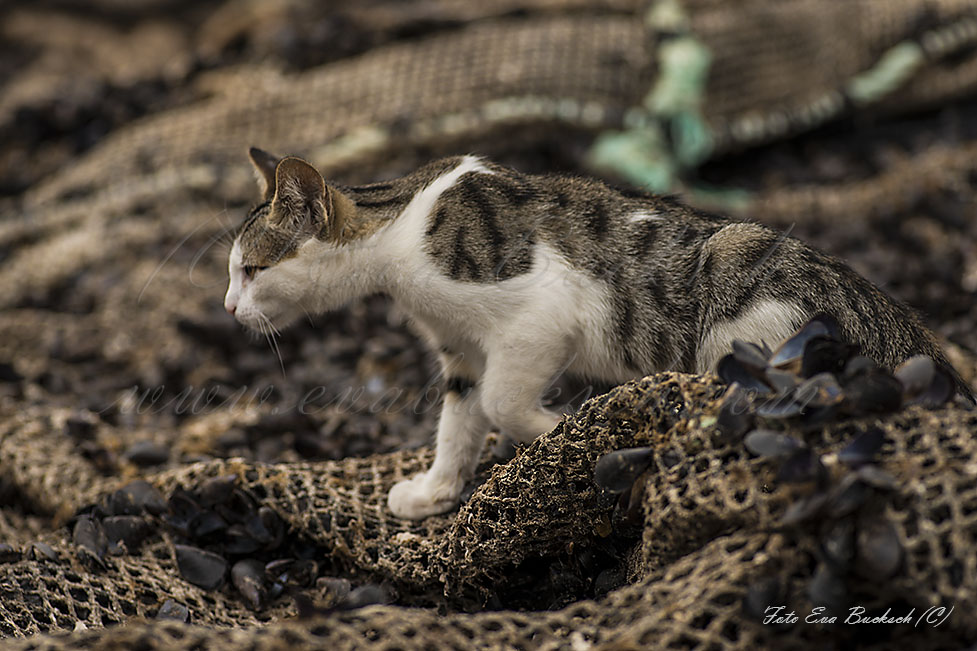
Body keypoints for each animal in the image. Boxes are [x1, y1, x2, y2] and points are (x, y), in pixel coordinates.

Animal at [225, 146, 972, 520]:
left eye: (252, 269)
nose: (230, 309)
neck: (399, 228)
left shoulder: (543, 314)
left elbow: (502, 402)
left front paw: (564, 429)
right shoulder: (459, 347)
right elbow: (460, 418)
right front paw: (437, 490)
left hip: (740, 294)